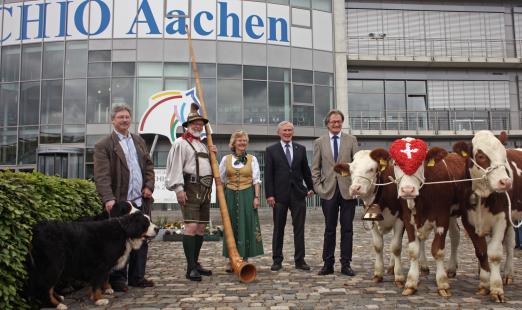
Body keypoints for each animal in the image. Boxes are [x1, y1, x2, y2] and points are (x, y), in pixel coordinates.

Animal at [26, 208, 156, 308]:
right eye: (146, 223)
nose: (158, 228)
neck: (124, 232)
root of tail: (36, 229)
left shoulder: (105, 265)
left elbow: (105, 278)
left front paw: (107, 289)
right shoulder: (101, 265)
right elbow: (97, 283)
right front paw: (99, 299)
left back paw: (59, 298)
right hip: (54, 265)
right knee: (45, 287)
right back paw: (58, 305)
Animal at [448, 130, 516, 302]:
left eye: (504, 155)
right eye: (480, 156)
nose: (505, 182)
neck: (483, 196)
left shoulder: (502, 220)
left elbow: (494, 254)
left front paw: (496, 288)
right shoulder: (468, 221)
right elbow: (481, 252)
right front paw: (485, 283)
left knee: (509, 244)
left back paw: (508, 274)